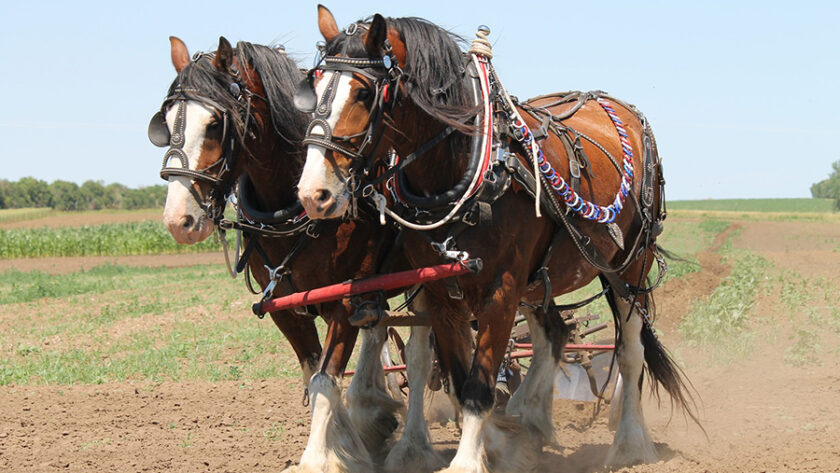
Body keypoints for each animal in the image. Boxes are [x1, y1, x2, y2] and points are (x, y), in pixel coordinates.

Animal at [151, 35, 442, 470]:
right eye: (166, 123)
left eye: (216, 123)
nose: (178, 220)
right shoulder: (285, 308)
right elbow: (313, 374)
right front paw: (348, 440)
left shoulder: (343, 299)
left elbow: (325, 379)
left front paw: (319, 457)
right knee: (378, 333)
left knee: (421, 357)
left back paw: (411, 447)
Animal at [298, 7, 700, 472]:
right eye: (314, 86)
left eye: (364, 93)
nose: (312, 193)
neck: (467, 168)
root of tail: (617, 106)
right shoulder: (442, 292)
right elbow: (460, 379)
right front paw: (501, 444)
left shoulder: (502, 289)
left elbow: (479, 386)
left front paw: (469, 460)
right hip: (542, 280)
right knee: (553, 336)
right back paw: (530, 419)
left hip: (630, 265)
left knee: (630, 350)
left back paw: (630, 444)